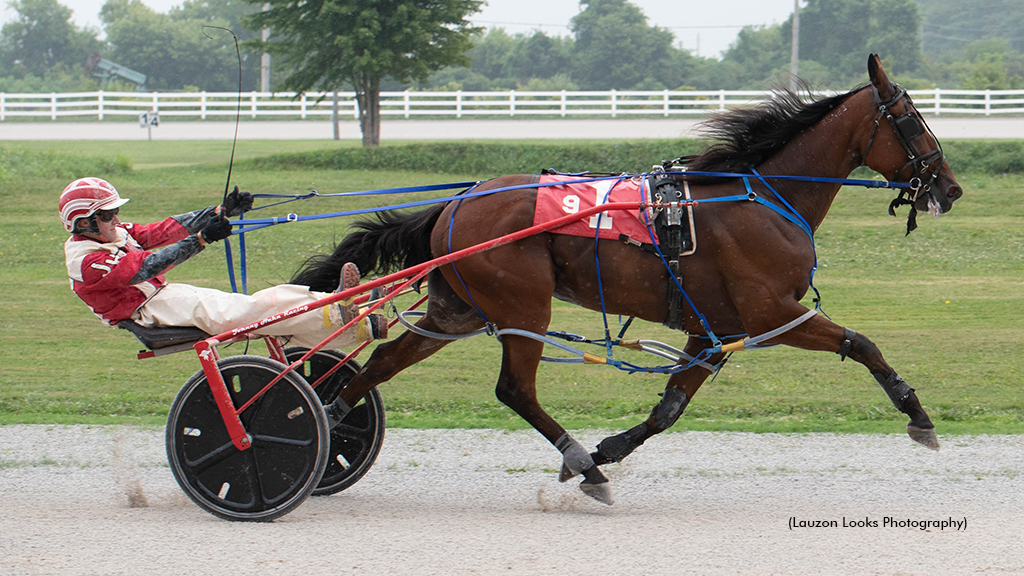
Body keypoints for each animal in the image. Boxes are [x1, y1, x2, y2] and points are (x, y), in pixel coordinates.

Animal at [294, 54, 958, 502]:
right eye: (911, 117)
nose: (949, 187)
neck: (762, 198)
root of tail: (455, 203)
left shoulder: (712, 330)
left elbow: (669, 409)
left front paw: (610, 447)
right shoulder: (771, 313)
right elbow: (861, 343)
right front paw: (918, 415)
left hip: (455, 310)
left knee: (383, 363)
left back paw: (325, 416)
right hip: (523, 309)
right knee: (515, 390)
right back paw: (584, 467)